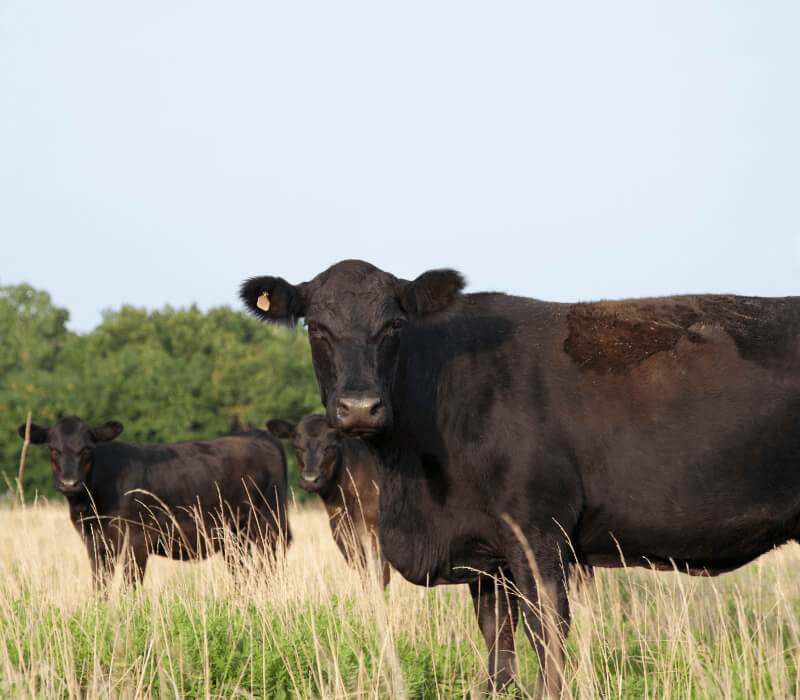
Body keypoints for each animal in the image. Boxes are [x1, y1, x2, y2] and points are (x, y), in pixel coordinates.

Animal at [18, 416, 290, 584]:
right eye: (53, 449)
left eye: (87, 449)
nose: (69, 483)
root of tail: (256, 434)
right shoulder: (96, 544)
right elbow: (100, 588)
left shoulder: (137, 541)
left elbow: (129, 588)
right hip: (235, 538)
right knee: (242, 574)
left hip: (268, 526)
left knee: (269, 568)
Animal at [268, 412, 390, 588]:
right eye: (297, 447)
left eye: (330, 446)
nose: (310, 479)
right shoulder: (342, 532)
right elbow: (363, 571)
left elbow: (381, 574)